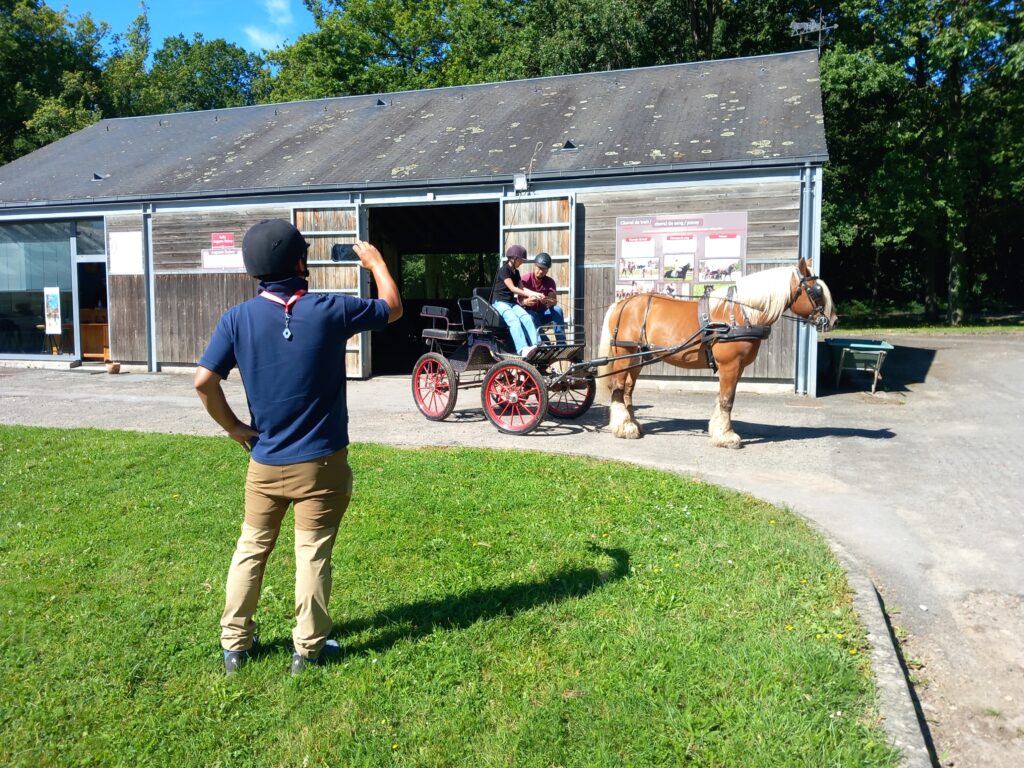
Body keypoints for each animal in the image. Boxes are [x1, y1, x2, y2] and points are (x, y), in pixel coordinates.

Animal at [598, 262, 835, 448]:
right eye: (815, 291)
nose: (831, 320)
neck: (741, 314)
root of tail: (622, 303)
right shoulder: (730, 365)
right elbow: (727, 400)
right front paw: (727, 437)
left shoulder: (738, 367)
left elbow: (723, 398)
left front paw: (718, 429)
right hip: (625, 354)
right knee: (618, 388)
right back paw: (623, 427)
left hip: (637, 358)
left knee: (628, 389)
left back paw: (633, 424)